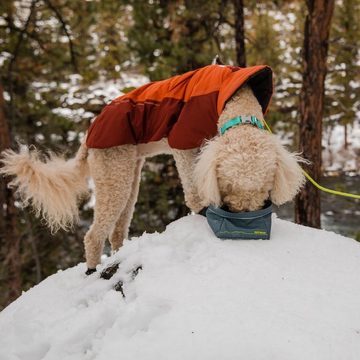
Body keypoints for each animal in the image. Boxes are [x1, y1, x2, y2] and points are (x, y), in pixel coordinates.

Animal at [0, 64, 306, 272]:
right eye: (228, 187)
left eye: (264, 188)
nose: (242, 217)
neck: (234, 100)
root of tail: (90, 133)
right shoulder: (184, 143)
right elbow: (192, 185)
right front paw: (202, 210)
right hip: (113, 173)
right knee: (93, 235)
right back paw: (92, 270)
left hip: (129, 175)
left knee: (117, 230)